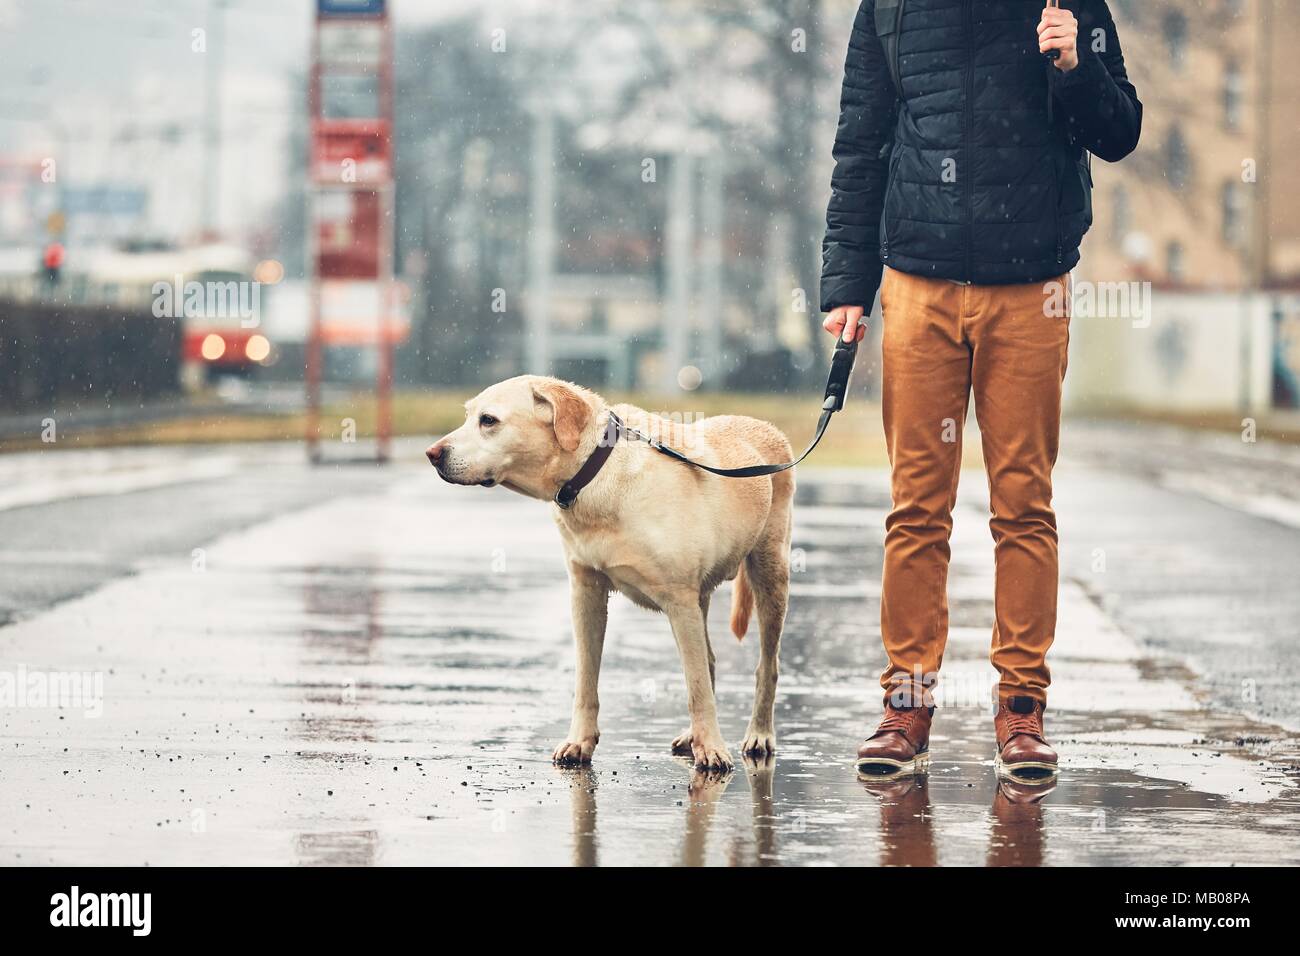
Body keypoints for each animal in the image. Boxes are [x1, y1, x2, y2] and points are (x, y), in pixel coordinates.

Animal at [426, 374, 790, 770]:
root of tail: (764, 425)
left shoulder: (679, 600)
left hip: (769, 575)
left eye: (488, 421)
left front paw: (711, 748)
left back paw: (758, 734)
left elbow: (696, 688)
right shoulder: (586, 592)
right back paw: (692, 735)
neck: (595, 471)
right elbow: (586, 679)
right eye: (468, 416)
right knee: (707, 660)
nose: (432, 454)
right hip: (702, 599)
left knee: (765, 667)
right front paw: (579, 741)